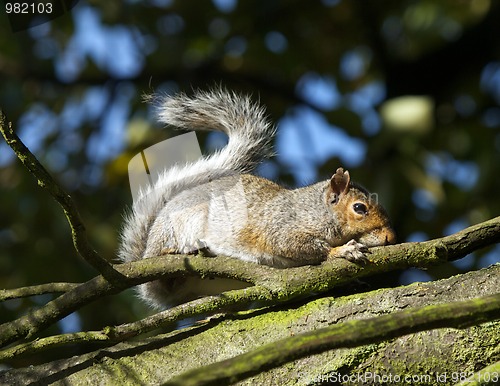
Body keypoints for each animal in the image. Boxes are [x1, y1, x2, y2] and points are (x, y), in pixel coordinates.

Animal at [119, 89, 396, 310]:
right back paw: (183, 249)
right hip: (178, 229)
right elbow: (299, 246)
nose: (390, 238)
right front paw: (343, 250)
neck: (315, 210)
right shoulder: (281, 227)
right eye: (359, 208)